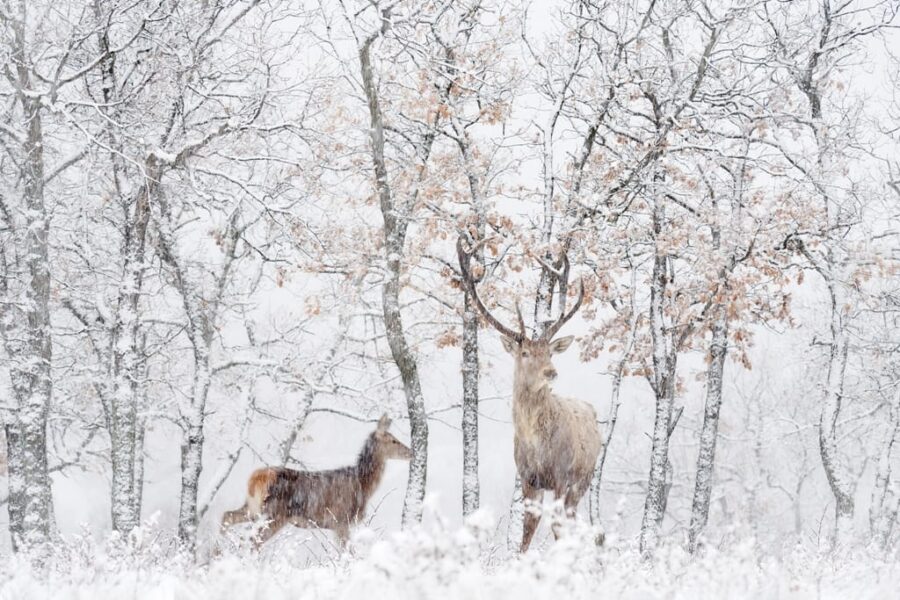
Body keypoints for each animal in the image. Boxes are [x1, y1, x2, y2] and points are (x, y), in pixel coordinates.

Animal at [221, 412, 412, 548]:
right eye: (393, 441)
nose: (410, 452)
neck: (363, 486)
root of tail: (257, 478)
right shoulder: (341, 519)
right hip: (275, 514)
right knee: (253, 541)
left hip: (253, 508)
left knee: (227, 516)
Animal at [458, 236, 604, 552]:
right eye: (525, 352)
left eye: (549, 352)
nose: (551, 371)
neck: (536, 445)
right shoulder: (528, 478)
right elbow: (526, 531)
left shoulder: (561, 474)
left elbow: (556, 527)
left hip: (584, 477)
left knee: (572, 519)